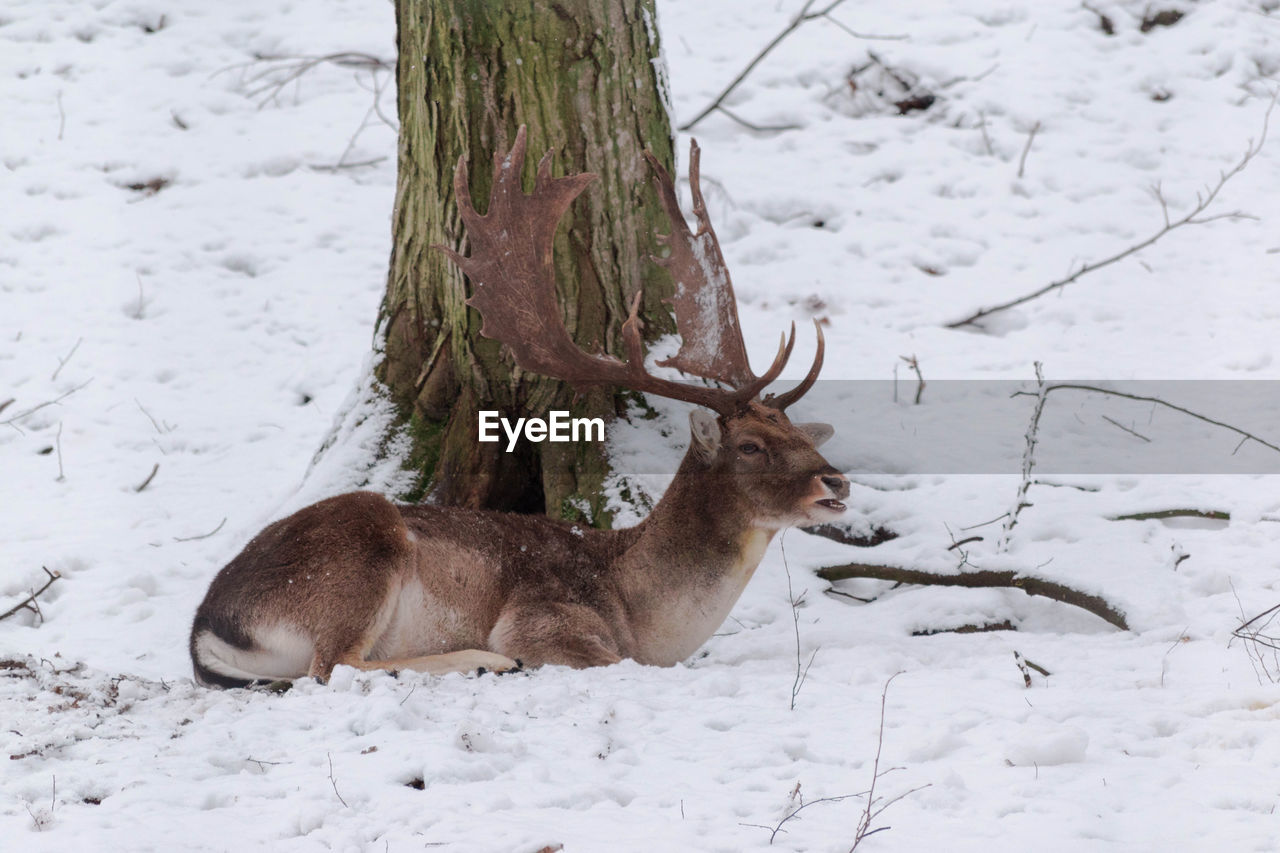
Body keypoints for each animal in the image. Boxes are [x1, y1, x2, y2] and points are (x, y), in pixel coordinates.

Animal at [189, 126, 844, 686]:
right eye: (751, 446)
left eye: (799, 434)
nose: (835, 481)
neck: (643, 617)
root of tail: (207, 626)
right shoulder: (544, 615)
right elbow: (604, 660)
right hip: (358, 552)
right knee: (333, 666)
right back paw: (483, 661)